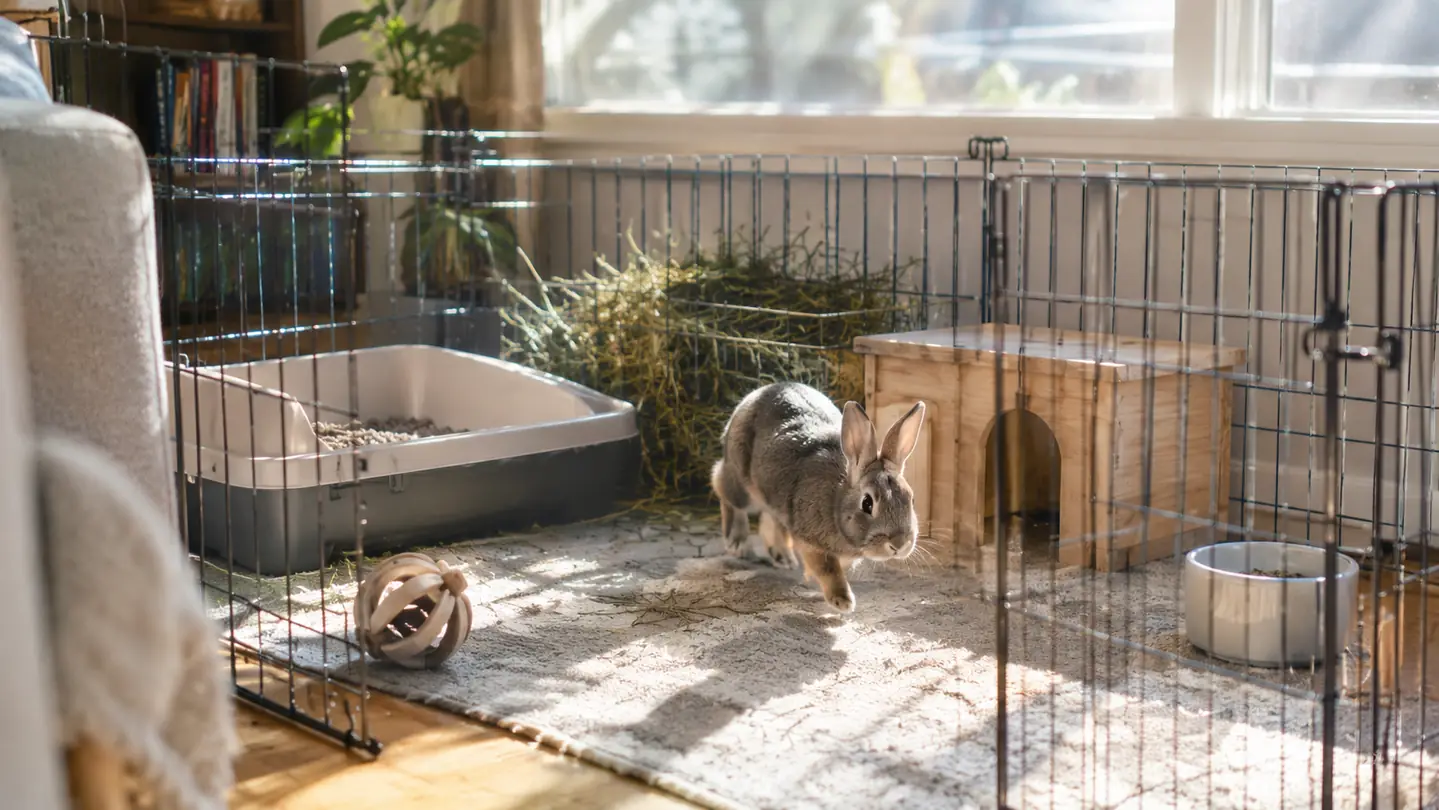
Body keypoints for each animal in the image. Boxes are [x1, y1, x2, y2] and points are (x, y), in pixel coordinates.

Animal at [710, 381, 927, 613]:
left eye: (911, 499)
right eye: (867, 503)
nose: (900, 544)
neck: (837, 502)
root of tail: (755, 394)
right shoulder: (811, 541)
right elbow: (828, 570)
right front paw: (843, 602)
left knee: (773, 518)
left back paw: (783, 558)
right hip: (741, 482)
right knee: (725, 490)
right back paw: (738, 543)